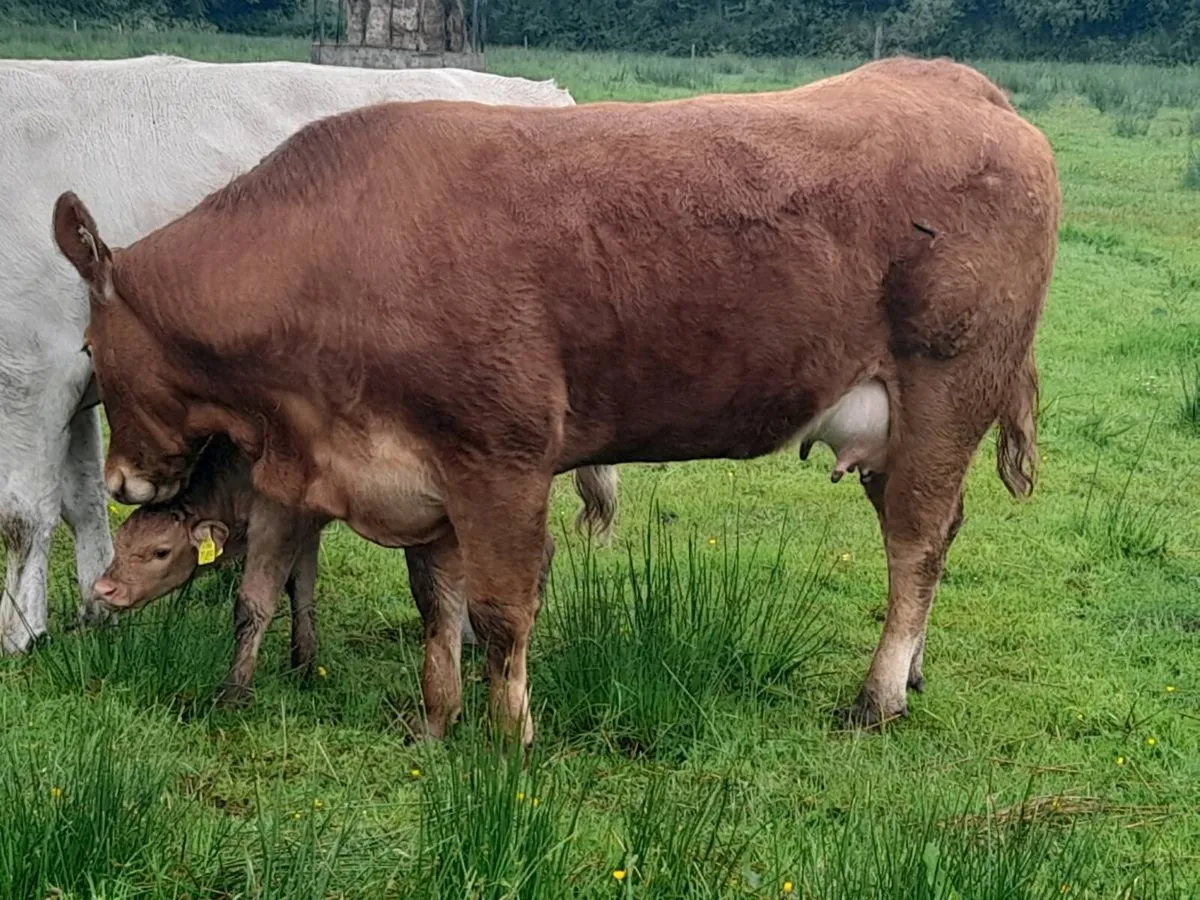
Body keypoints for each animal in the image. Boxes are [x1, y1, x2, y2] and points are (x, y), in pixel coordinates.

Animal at [0, 52, 619, 654]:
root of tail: (544, 93)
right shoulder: (74, 382)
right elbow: (81, 500)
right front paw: (94, 611)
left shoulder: (32, 371)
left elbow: (23, 513)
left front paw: (21, 633)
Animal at [91, 435, 617, 702]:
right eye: (122, 542)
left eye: (160, 552)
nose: (105, 588)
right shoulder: (305, 523)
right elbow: (300, 590)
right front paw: (304, 665)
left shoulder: (276, 521)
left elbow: (254, 603)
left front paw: (234, 692)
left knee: (540, 551)